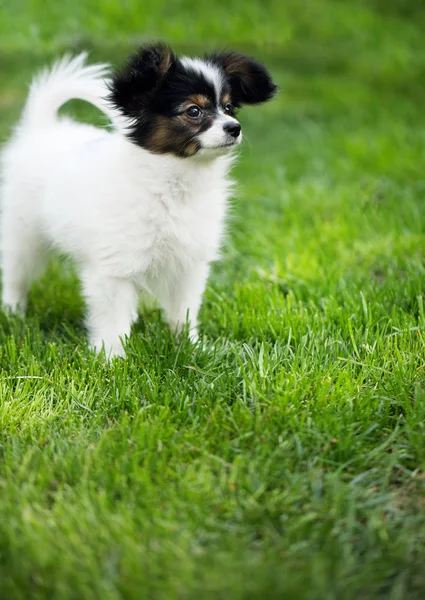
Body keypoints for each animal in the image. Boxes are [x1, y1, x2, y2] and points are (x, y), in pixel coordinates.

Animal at [0, 47, 276, 358]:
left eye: (228, 108)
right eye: (194, 111)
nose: (235, 128)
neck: (175, 183)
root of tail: (42, 129)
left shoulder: (189, 264)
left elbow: (184, 312)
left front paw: (189, 347)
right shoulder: (114, 269)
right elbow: (113, 321)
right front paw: (112, 359)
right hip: (24, 235)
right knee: (16, 275)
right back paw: (13, 313)